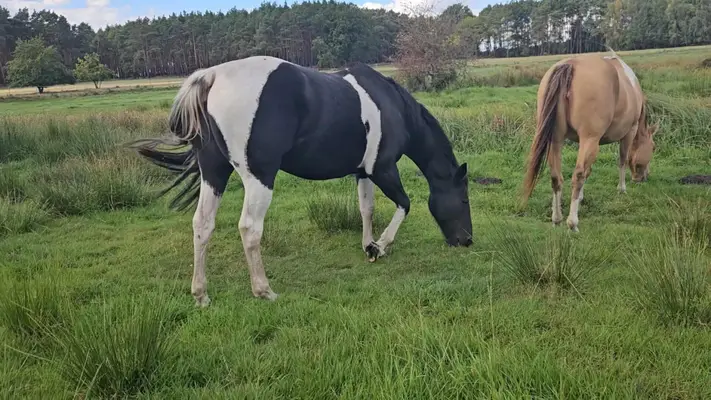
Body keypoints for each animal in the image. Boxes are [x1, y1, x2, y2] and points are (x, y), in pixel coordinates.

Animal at [130, 55, 473, 306]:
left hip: (213, 173)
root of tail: (211, 77)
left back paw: (201, 295)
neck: (391, 106)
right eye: (464, 198)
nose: (466, 240)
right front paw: (381, 246)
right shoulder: (383, 169)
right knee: (249, 228)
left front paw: (368, 246)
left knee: (202, 224)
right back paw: (263, 290)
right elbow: (404, 204)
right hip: (259, 177)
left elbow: (367, 209)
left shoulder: (362, 172)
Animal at [521, 50, 658, 232]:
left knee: (556, 177)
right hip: (589, 139)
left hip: (556, 140)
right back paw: (572, 223)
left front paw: (580, 198)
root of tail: (570, 65)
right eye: (653, 147)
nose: (643, 177)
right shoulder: (629, 132)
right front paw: (622, 188)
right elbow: (622, 160)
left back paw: (557, 219)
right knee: (577, 175)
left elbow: (588, 171)